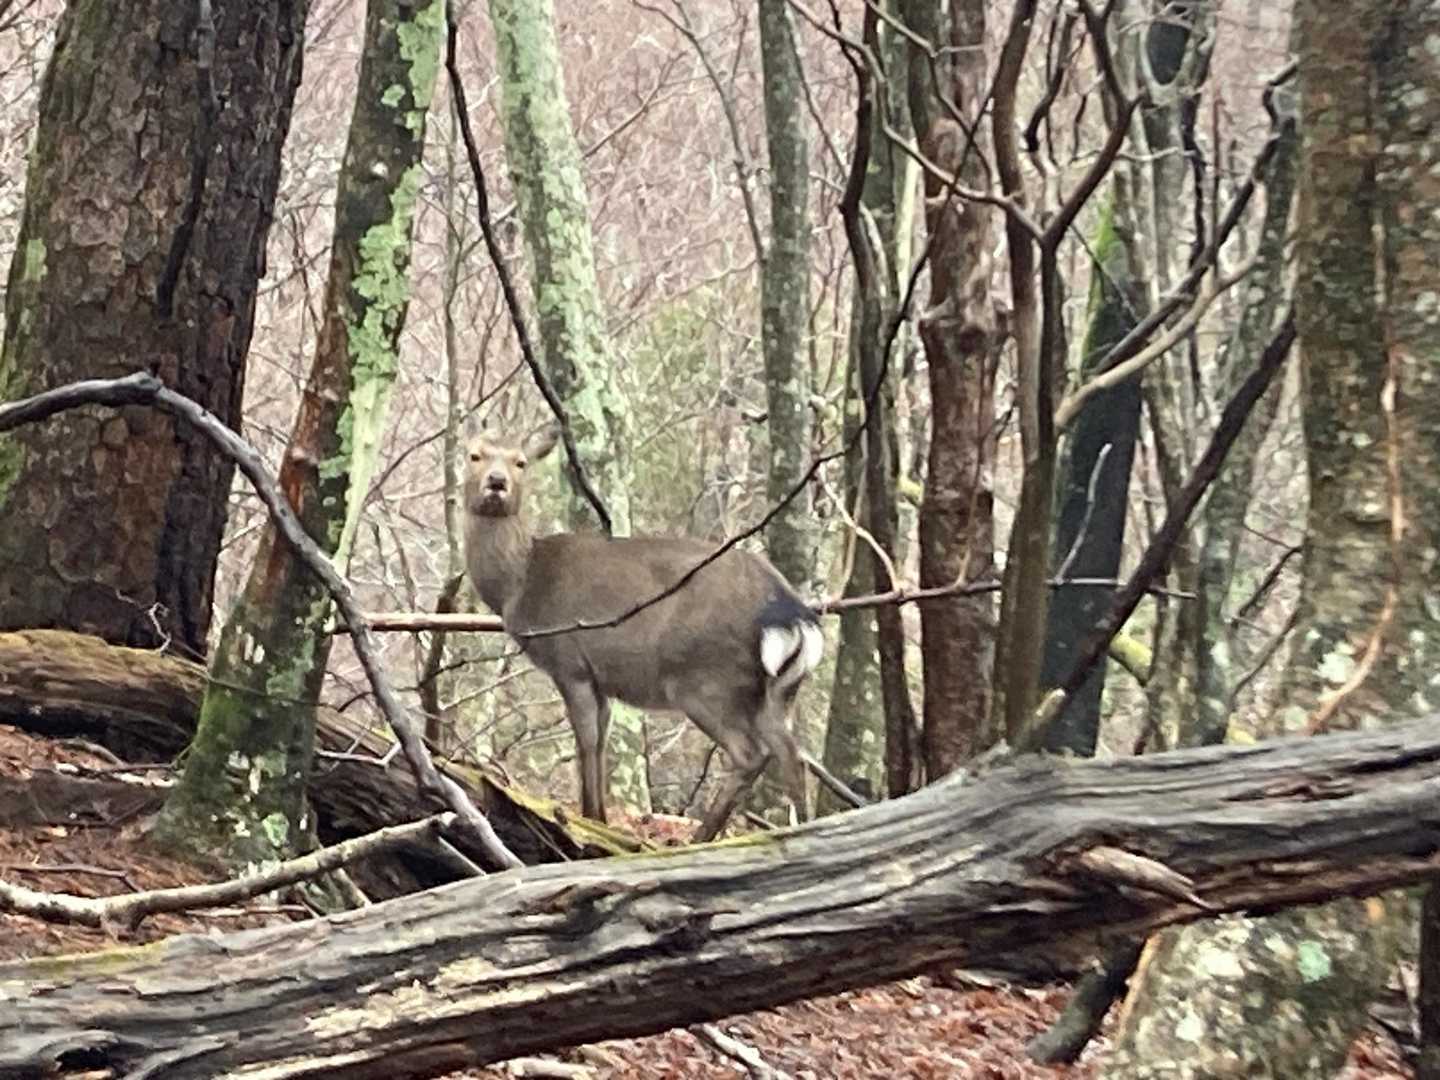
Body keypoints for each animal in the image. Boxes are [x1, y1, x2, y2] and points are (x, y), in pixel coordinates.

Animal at [462, 423, 823, 842]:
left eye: (520, 462)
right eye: (475, 455)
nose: (497, 482)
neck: (518, 585)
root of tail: (789, 610)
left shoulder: (569, 659)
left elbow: (586, 740)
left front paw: (591, 820)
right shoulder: (599, 677)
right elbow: (601, 741)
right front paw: (599, 817)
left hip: (704, 677)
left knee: (751, 755)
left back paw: (698, 838)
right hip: (777, 691)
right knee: (793, 756)